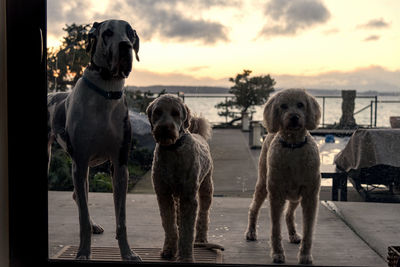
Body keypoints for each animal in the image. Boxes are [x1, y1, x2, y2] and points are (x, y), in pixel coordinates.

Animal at [245, 89, 320, 264]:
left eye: (301, 104)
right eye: (283, 106)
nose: (294, 117)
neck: (293, 146)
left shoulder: (310, 196)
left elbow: (308, 230)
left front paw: (305, 255)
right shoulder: (276, 195)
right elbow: (275, 228)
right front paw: (278, 253)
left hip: (295, 196)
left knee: (288, 214)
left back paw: (293, 234)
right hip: (263, 184)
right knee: (254, 208)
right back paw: (251, 232)